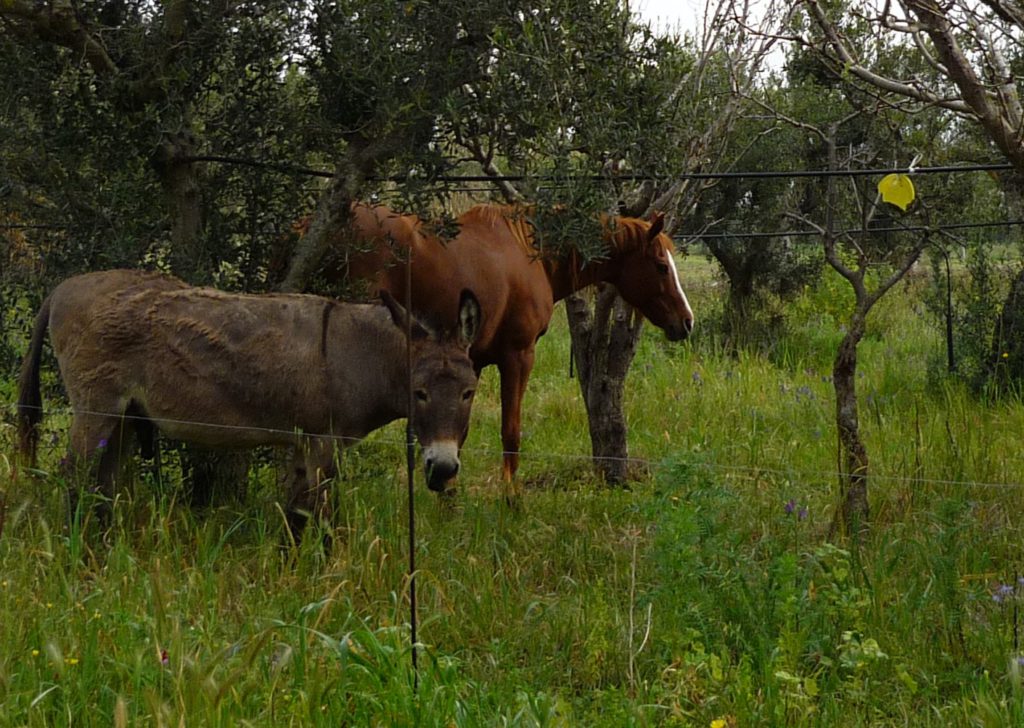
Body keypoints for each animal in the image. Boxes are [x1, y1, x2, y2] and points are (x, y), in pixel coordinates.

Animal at [16, 270, 479, 536]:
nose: (442, 469)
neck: (357, 352)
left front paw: (289, 576)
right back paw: (76, 551)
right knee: (74, 476)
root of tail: (63, 287)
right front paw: (324, 582)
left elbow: (296, 514)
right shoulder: (322, 441)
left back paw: (106, 550)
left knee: (104, 482)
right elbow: (323, 517)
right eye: (419, 393)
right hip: (96, 406)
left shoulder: (302, 443)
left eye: (468, 393)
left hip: (124, 415)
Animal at [327, 201, 696, 481]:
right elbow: (511, 433)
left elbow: (458, 431)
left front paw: (448, 498)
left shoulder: (470, 361)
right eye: (661, 266)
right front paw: (511, 501)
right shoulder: (518, 355)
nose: (687, 321)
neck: (531, 254)